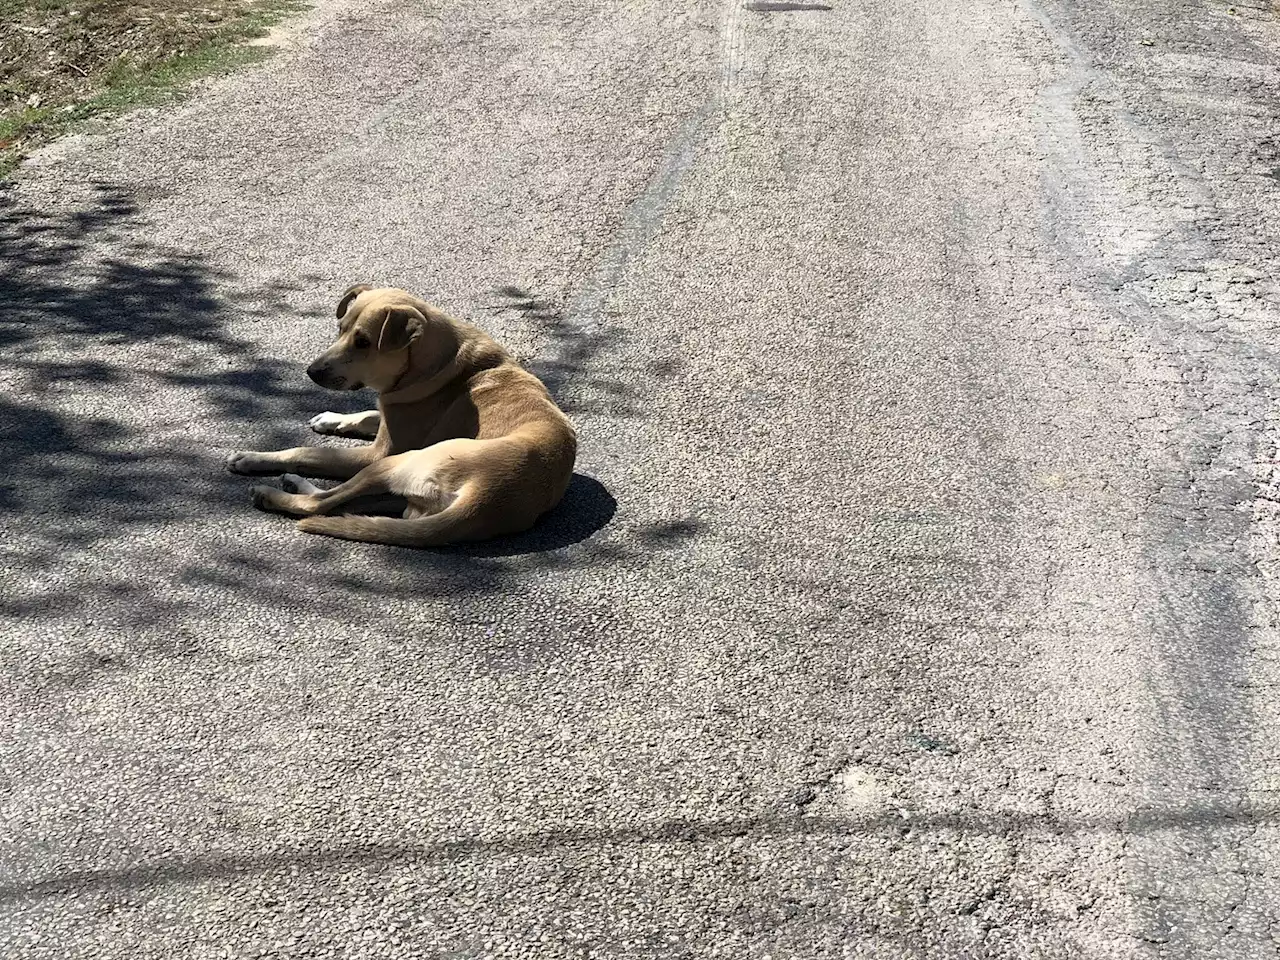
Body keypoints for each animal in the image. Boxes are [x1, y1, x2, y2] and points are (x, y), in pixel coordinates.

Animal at [225, 284, 576, 547]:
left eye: (363, 342)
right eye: (340, 330)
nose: (312, 372)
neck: (434, 363)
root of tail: (483, 501)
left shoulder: (378, 452)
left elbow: (307, 451)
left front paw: (252, 458)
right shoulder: (389, 414)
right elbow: (369, 413)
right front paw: (332, 418)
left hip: (393, 464)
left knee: (321, 504)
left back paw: (271, 493)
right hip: (400, 494)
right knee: (342, 504)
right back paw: (295, 483)